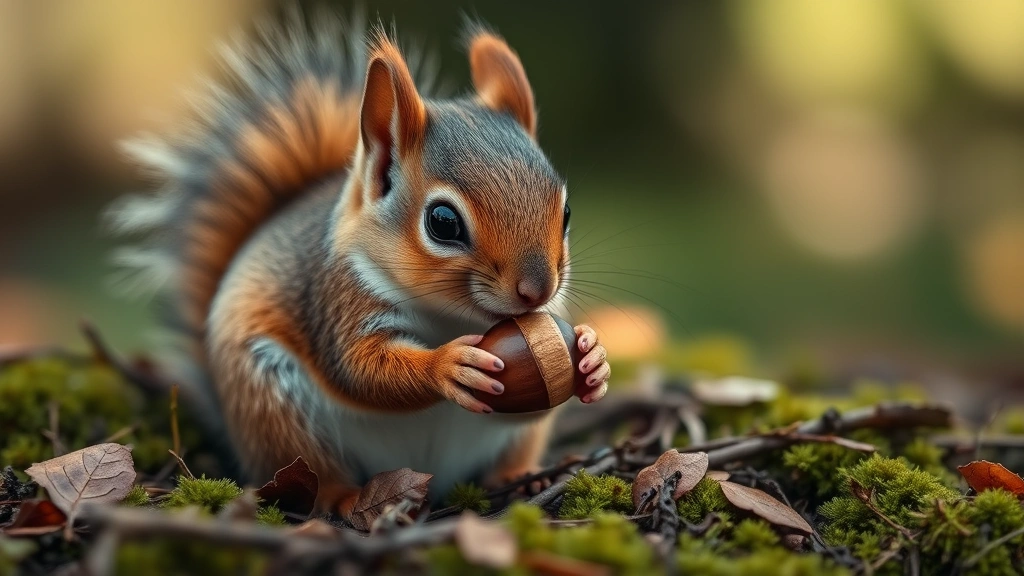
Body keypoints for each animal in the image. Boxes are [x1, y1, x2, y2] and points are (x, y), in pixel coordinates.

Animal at [108, 13, 611, 512]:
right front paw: (445, 366)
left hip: (515, 439)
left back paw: (520, 479)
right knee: (311, 475)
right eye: (443, 222)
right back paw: (342, 497)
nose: (537, 290)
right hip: (272, 407)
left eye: (566, 212)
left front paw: (592, 359)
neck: (451, 316)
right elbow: (361, 370)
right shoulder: (339, 298)